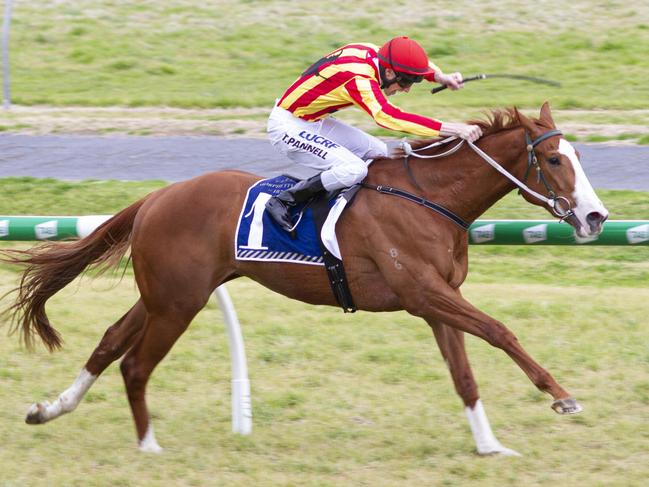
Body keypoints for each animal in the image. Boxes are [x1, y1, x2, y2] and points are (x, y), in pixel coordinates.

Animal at [0, 104, 608, 458]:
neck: (430, 198)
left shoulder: (440, 299)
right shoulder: (424, 293)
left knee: (109, 343)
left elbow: (463, 375)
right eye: (555, 160)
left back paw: (50, 409)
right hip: (177, 303)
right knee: (135, 364)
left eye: (578, 154)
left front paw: (489, 445)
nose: (596, 217)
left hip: (165, 296)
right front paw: (562, 397)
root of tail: (156, 197)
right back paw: (149, 448)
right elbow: (501, 331)